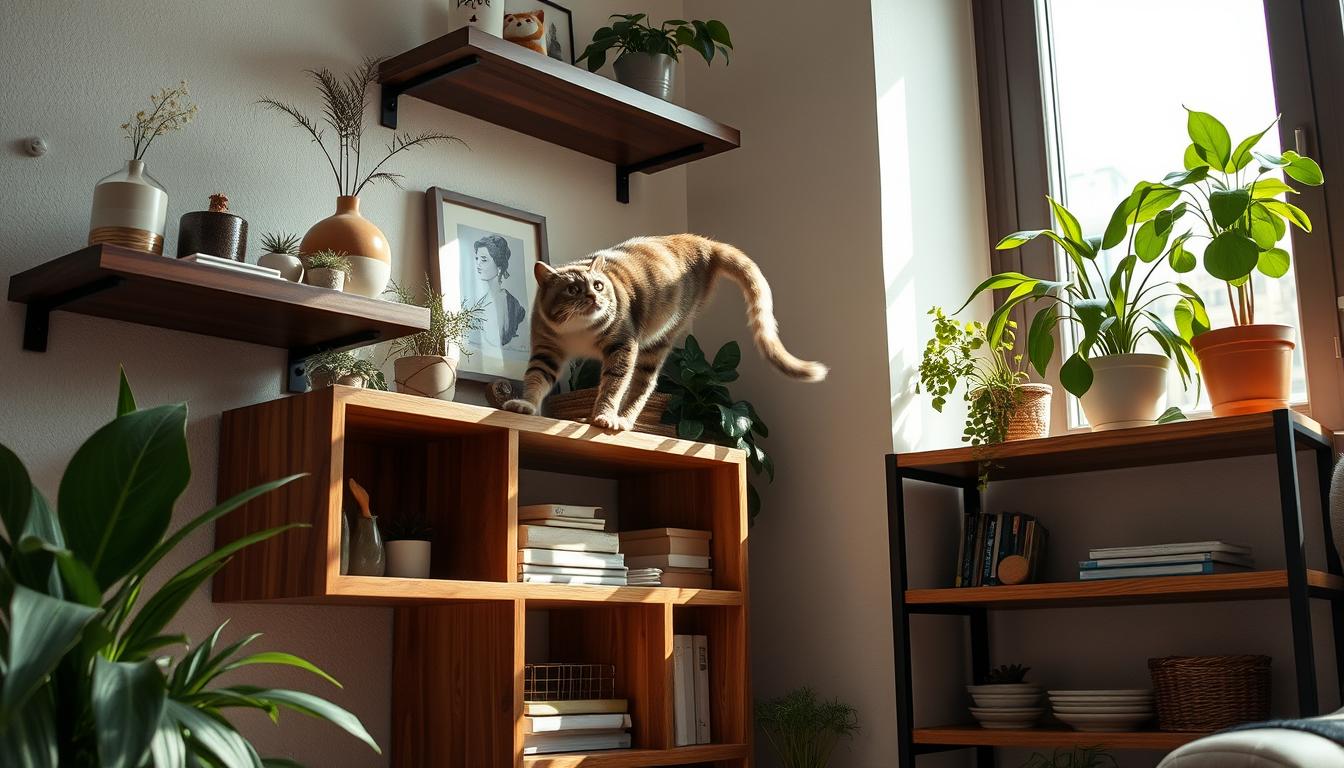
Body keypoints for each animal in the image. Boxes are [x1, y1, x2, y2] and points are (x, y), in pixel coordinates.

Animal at [502, 231, 822, 435]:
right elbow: (536, 378)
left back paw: (620, 420)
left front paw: (603, 415)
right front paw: (525, 405)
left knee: (642, 386)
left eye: (599, 285)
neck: (578, 331)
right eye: (572, 289)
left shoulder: (623, 346)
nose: (594, 298)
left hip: (659, 339)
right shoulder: (546, 350)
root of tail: (704, 243)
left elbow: (613, 385)